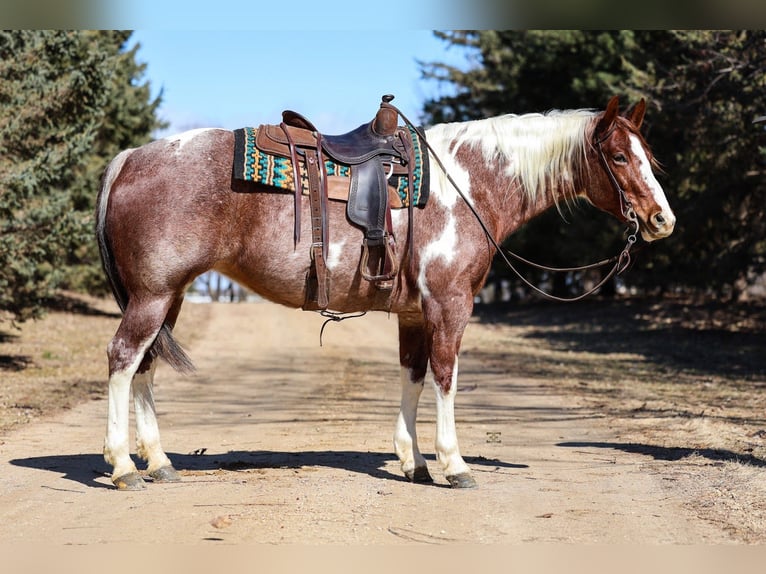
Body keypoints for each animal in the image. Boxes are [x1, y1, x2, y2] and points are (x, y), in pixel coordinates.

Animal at [95, 96, 675, 490]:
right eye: (618, 158)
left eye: (647, 155)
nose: (662, 220)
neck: (467, 184)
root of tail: (129, 158)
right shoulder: (449, 305)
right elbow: (445, 377)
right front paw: (454, 463)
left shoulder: (415, 314)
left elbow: (412, 378)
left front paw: (413, 461)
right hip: (152, 296)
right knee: (123, 359)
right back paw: (123, 465)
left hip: (168, 297)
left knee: (145, 367)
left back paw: (159, 462)